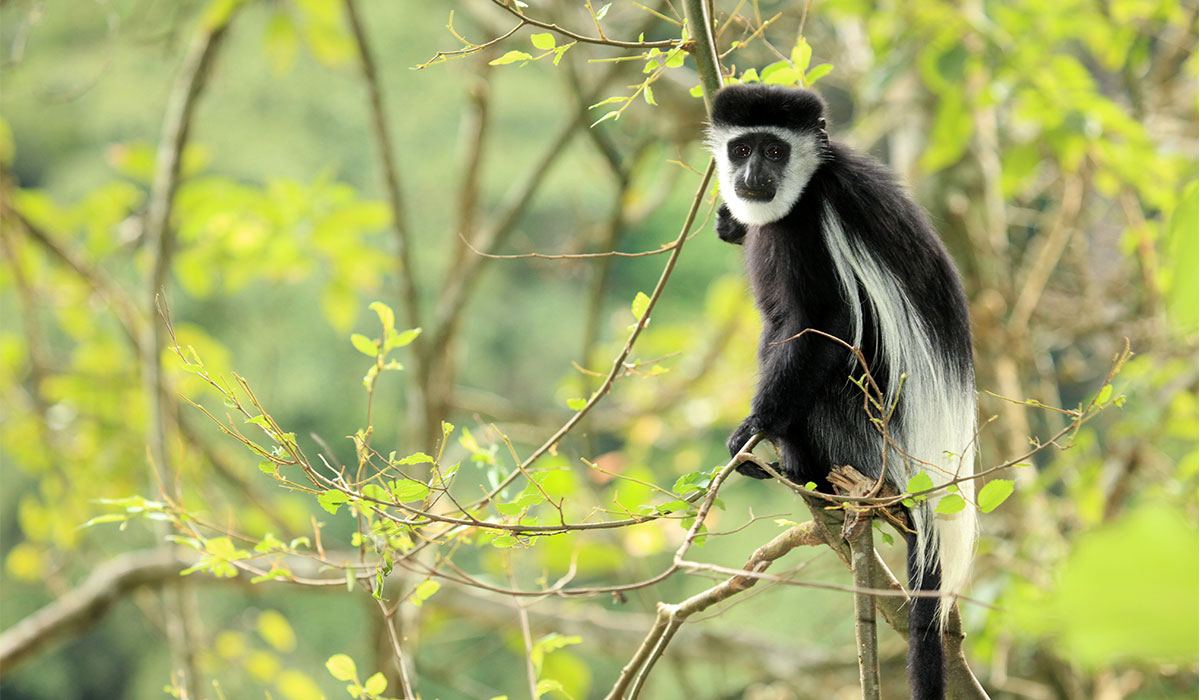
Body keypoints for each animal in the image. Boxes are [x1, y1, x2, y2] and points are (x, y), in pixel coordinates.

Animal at [708, 84, 977, 700]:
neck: (810, 182)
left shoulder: (812, 227)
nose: (752, 176)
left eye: (776, 151)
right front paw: (730, 222)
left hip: (864, 439)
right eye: (742, 149)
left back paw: (801, 471)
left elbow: (824, 324)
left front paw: (752, 429)